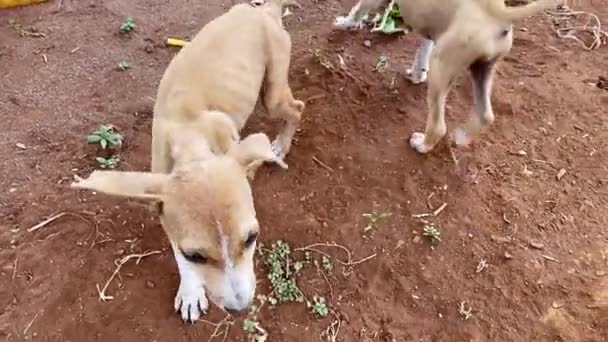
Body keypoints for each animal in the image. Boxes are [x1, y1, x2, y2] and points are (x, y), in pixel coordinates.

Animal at [70, 0, 302, 324]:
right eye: (195, 255)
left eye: (251, 238)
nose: (240, 308)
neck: (189, 135)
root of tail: (263, 9)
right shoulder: (166, 211)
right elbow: (181, 258)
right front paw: (192, 292)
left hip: (273, 92)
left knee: (296, 109)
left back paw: (279, 146)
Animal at [334, 0, 560, 153]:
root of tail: (499, 13)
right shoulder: (431, 31)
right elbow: (423, 50)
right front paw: (417, 74)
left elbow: (359, 9)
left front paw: (345, 23)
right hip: (482, 69)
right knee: (486, 115)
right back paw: (461, 138)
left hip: (441, 68)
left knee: (438, 126)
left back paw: (422, 145)